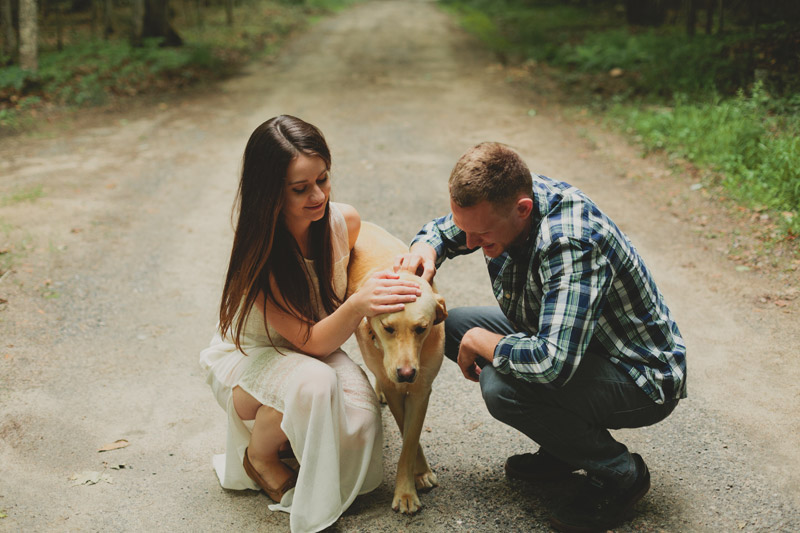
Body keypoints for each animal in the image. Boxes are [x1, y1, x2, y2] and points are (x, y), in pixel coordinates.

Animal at [346, 219, 446, 512]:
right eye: (388, 328)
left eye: (422, 328)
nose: (406, 373)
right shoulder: (396, 390)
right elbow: (404, 428)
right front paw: (411, 483)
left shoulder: (422, 390)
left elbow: (410, 441)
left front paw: (411, 483)